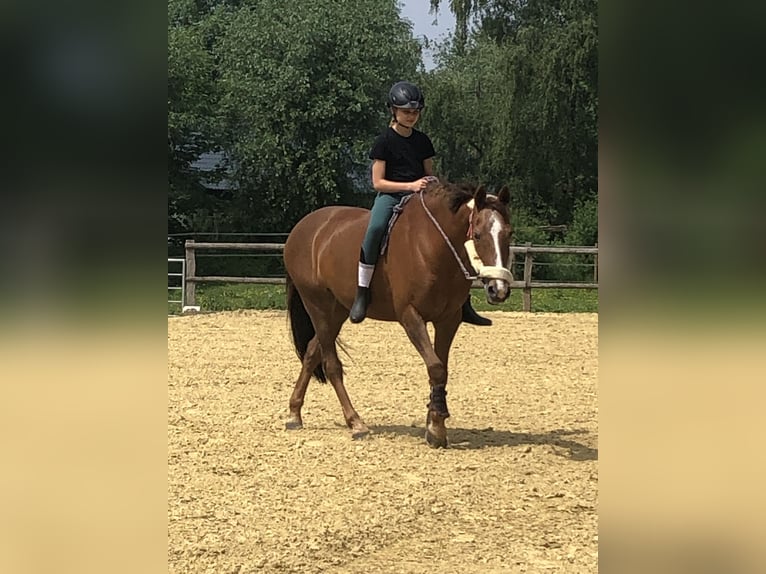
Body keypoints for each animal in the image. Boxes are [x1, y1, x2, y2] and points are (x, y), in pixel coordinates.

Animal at [284, 182, 512, 448]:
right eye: (477, 235)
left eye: (509, 234)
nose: (498, 289)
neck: (434, 246)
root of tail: (303, 227)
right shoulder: (410, 316)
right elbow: (436, 367)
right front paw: (436, 424)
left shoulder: (448, 319)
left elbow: (441, 368)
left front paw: (434, 421)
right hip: (318, 305)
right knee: (332, 366)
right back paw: (356, 423)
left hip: (336, 311)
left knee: (311, 353)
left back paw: (294, 413)